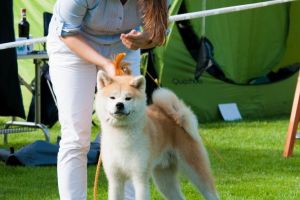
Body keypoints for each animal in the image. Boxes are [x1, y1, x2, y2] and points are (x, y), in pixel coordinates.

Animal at [96, 70, 220, 200]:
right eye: (112, 97)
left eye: (128, 98)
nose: (119, 104)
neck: (121, 135)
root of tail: (178, 118)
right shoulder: (115, 180)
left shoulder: (140, 179)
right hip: (165, 180)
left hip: (195, 168)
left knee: (211, 192)